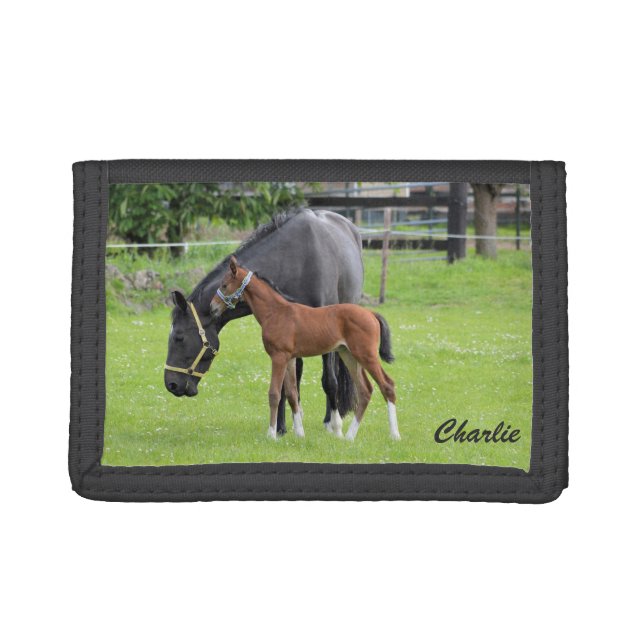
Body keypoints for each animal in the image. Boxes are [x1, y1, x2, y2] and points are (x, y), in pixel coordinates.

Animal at [164, 208, 363, 436]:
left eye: (179, 337)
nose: (170, 384)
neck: (295, 260)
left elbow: (330, 381)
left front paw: (333, 425)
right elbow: (284, 384)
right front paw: (281, 427)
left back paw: (329, 419)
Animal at [212, 256, 400, 441]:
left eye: (224, 285)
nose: (212, 307)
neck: (275, 312)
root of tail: (371, 313)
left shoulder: (279, 356)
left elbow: (274, 394)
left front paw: (271, 434)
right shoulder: (290, 359)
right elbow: (292, 394)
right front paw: (299, 433)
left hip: (366, 355)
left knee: (387, 385)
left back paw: (394, 435)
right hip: (349, 355)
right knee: (365, 390)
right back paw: (349, 437)